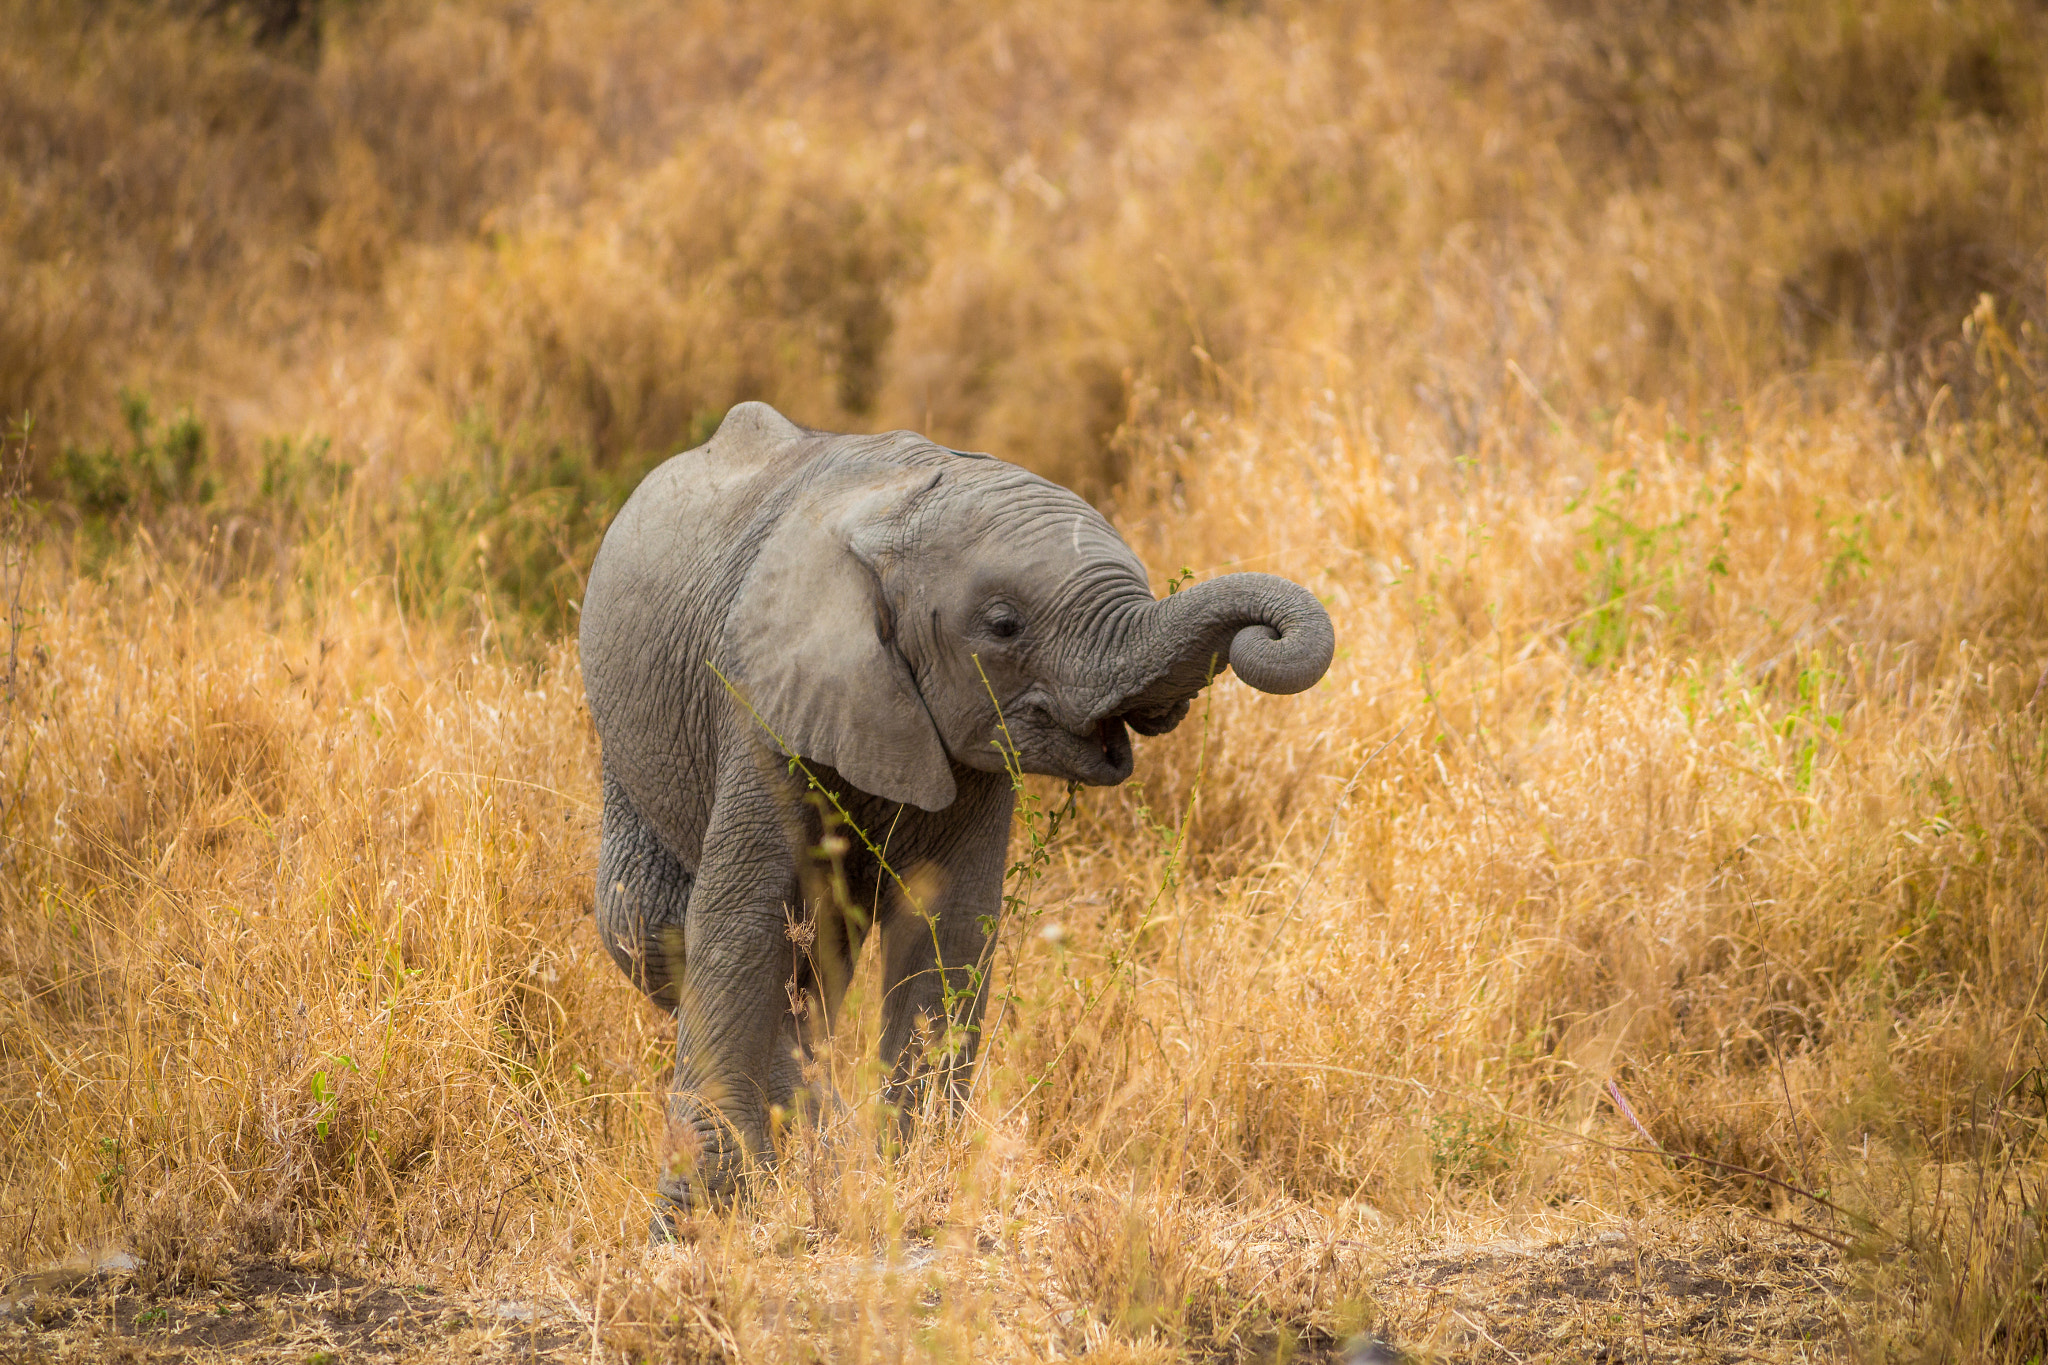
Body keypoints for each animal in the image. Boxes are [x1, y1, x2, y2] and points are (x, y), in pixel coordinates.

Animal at [578, 401, 1333, 1224]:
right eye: (1003, 625)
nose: (1261, 633)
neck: (896, 520)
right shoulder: (762, 700)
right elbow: (741, 921)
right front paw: (697, 1220)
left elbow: (948, 929)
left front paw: (907, 1172)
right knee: (652, 927)